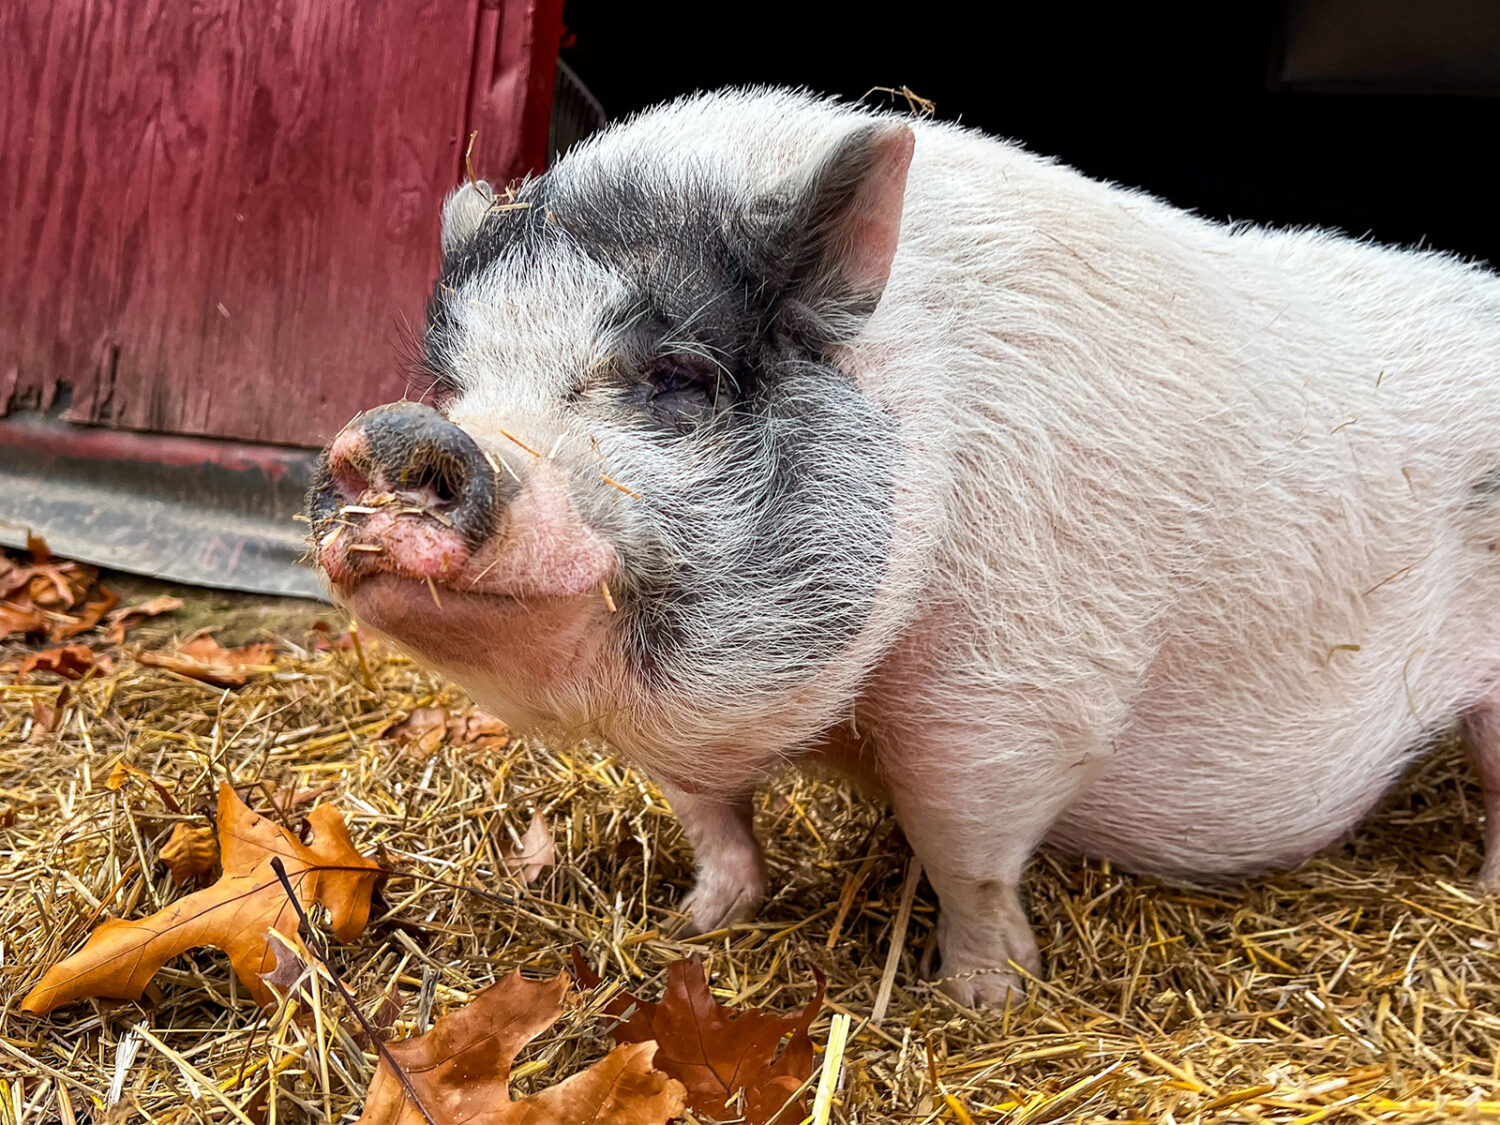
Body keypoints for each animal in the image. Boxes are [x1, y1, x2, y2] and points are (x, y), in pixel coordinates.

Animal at [304, 85, 1500, 1002]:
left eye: (678, 377)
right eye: (450, 381)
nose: (408, 434)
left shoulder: (1019, 697)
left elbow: (966, 855)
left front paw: (982, 997)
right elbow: (710, 817)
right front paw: (700, 925)